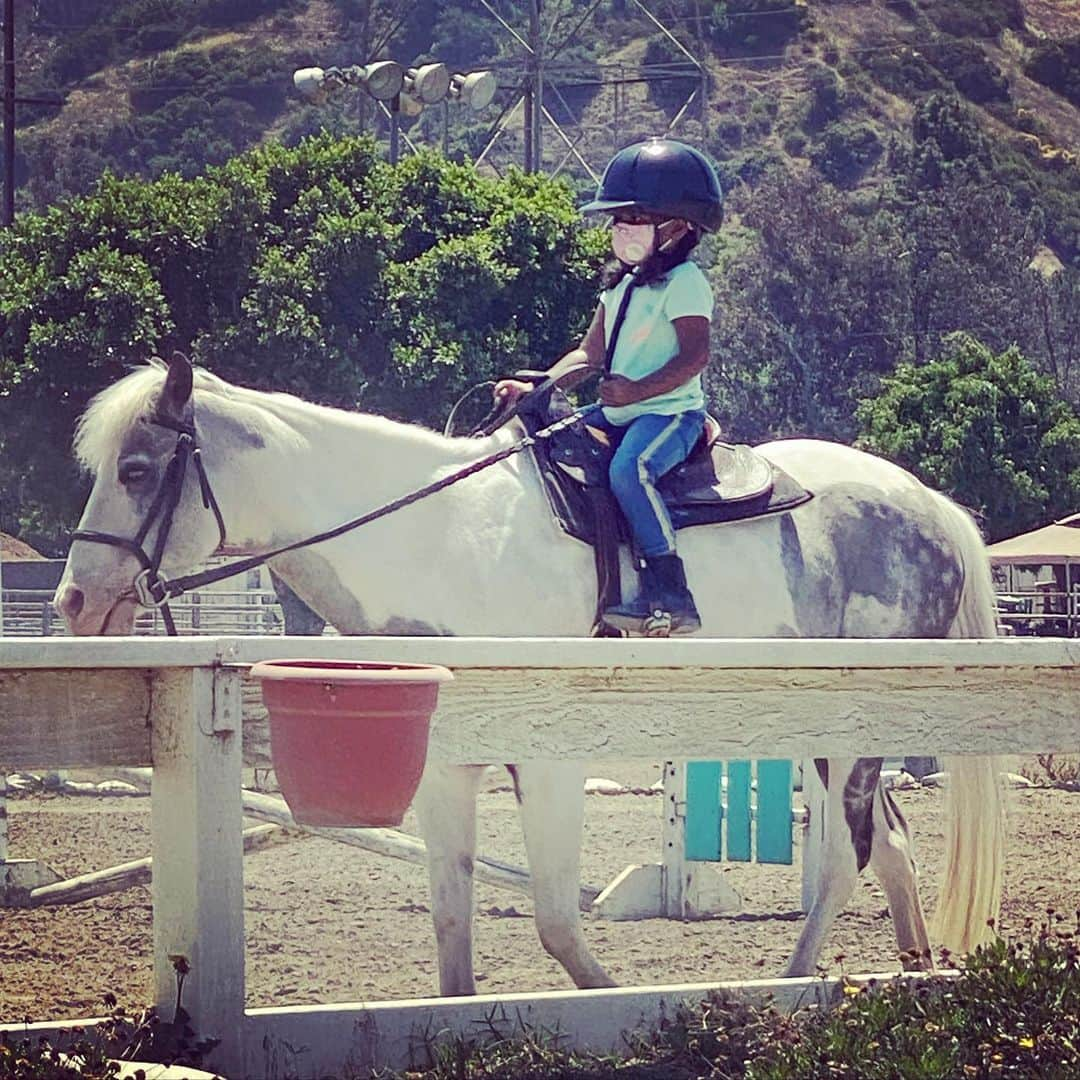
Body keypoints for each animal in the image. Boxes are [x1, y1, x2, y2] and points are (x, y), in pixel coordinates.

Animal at [56, 356, 1002, 993]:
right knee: (891, 849)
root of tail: (927, 504)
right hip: (819, 728)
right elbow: (451, 917)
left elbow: (554, 922)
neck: (432, 537)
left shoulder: (548, 758)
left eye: (136, 471)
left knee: (848, 854)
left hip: (856, 728)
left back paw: (793, 985)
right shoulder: (444, 765)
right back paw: (912, 969)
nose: (74, 601)